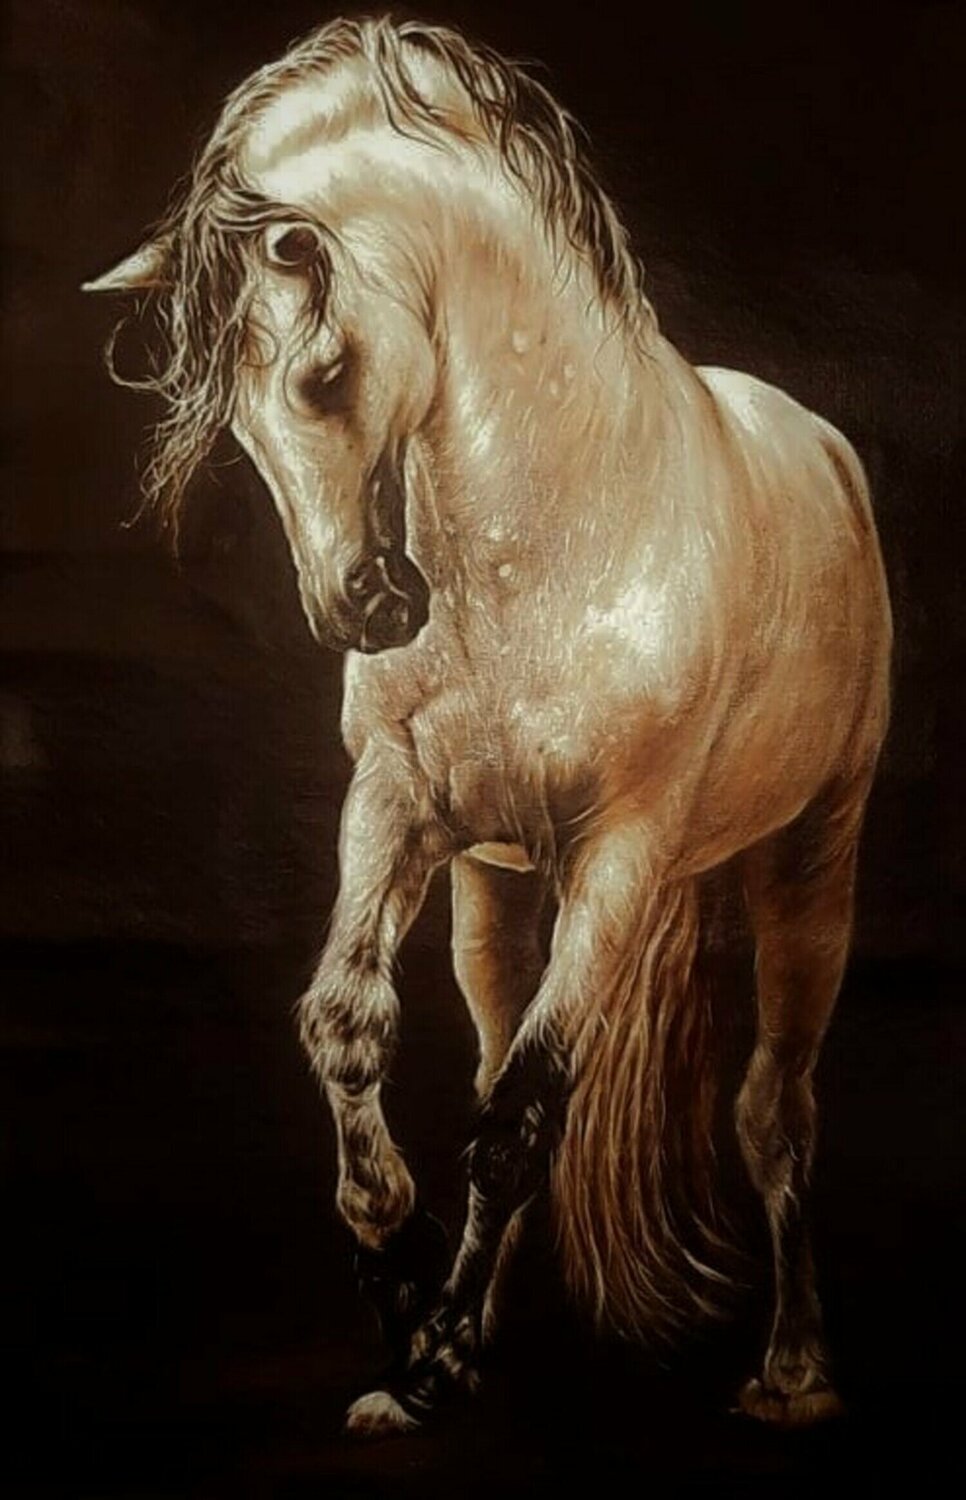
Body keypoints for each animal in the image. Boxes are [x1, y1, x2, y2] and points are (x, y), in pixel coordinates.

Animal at [85, 15, 892, 1436]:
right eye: (237, 418)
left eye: (325, 374)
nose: (364, 606)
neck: (553, 536)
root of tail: (826, 453)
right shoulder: (399, 808)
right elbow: (352, 1026)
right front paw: (400, 1293)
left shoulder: (626, 855)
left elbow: (525, 1115)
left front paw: (431, 1348)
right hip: (495, 893)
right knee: (489, 1055)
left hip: (810, 864)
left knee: (773, 1112)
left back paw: (792, 1371)